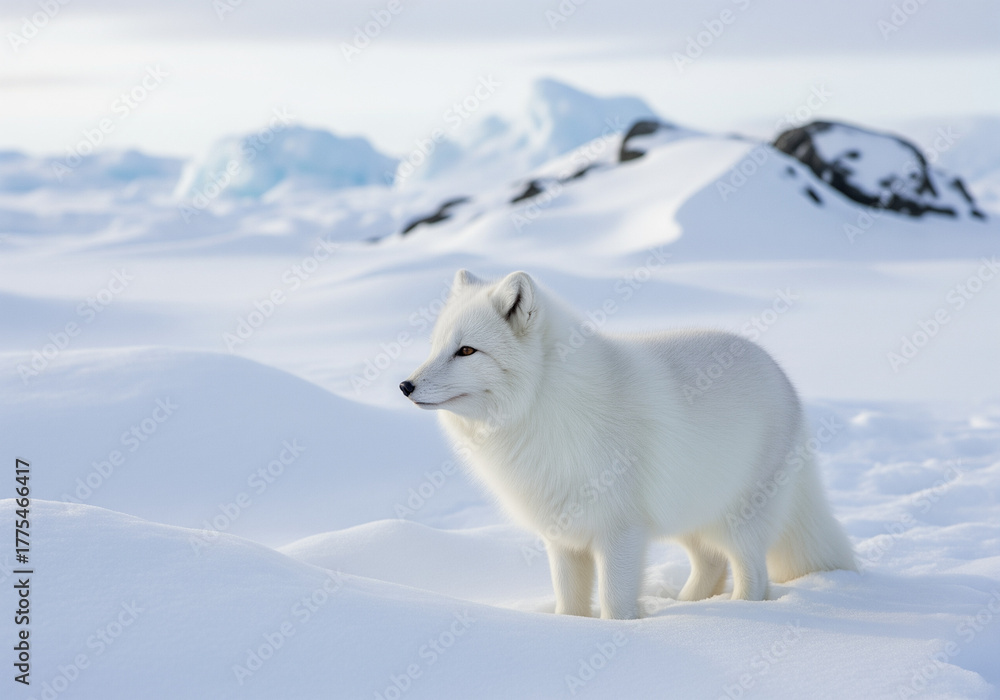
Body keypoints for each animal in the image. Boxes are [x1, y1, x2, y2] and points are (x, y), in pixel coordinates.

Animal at [401, 269, 856, 620]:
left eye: (466, 350)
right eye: (436, 347)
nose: (405, 386)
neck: (543, 407)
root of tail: (785, 379)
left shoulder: (620, 532)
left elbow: (615, 603)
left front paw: (621, 631)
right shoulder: (563, 538)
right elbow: (570, 603)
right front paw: (568, 629)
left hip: (740, 519)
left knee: (754, 576)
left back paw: (734, 612)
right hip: (690, 514)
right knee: (711, 563)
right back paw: (686, 606)